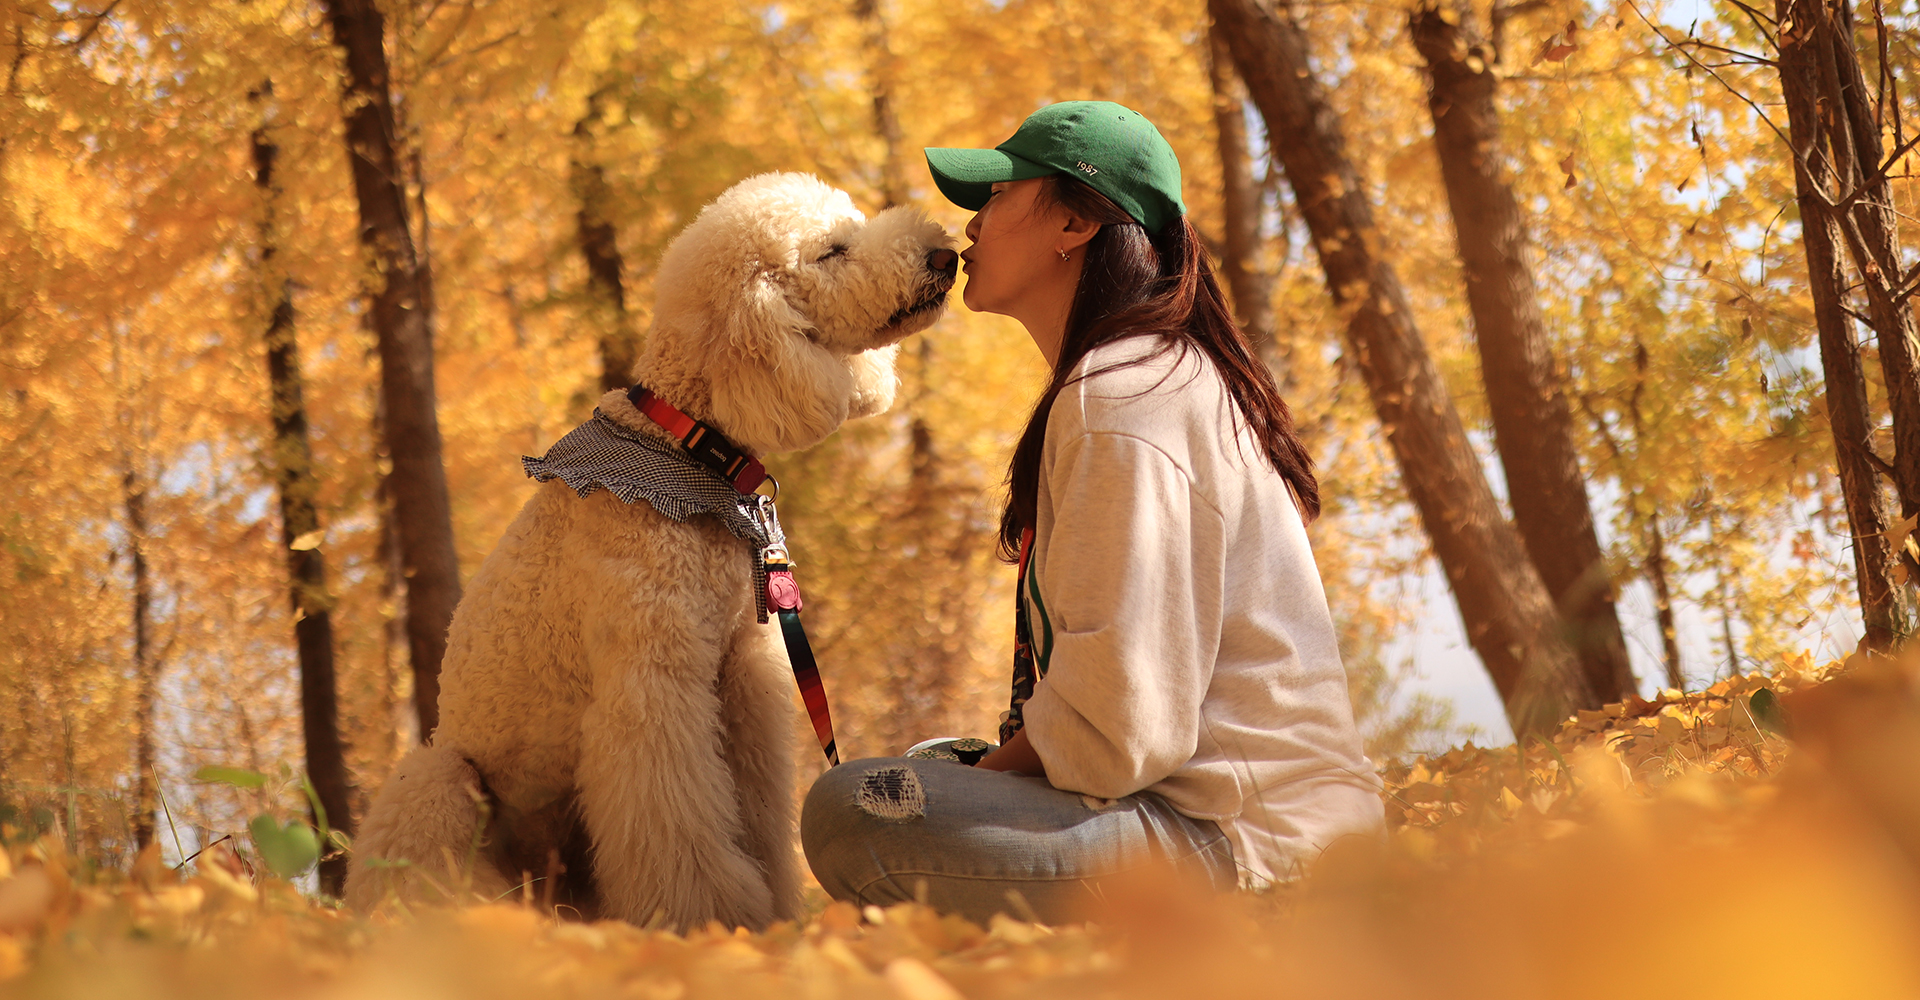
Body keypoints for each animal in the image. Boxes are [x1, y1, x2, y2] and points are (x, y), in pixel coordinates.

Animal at [345, 171, 952, 928]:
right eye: (831, 251)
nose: (945, 255)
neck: (684, 444)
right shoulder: (652, 684)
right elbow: (675, 819)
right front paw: (709, 920)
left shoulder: (739, 681)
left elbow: (755, 809)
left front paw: (774, 912)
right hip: (442, 779)